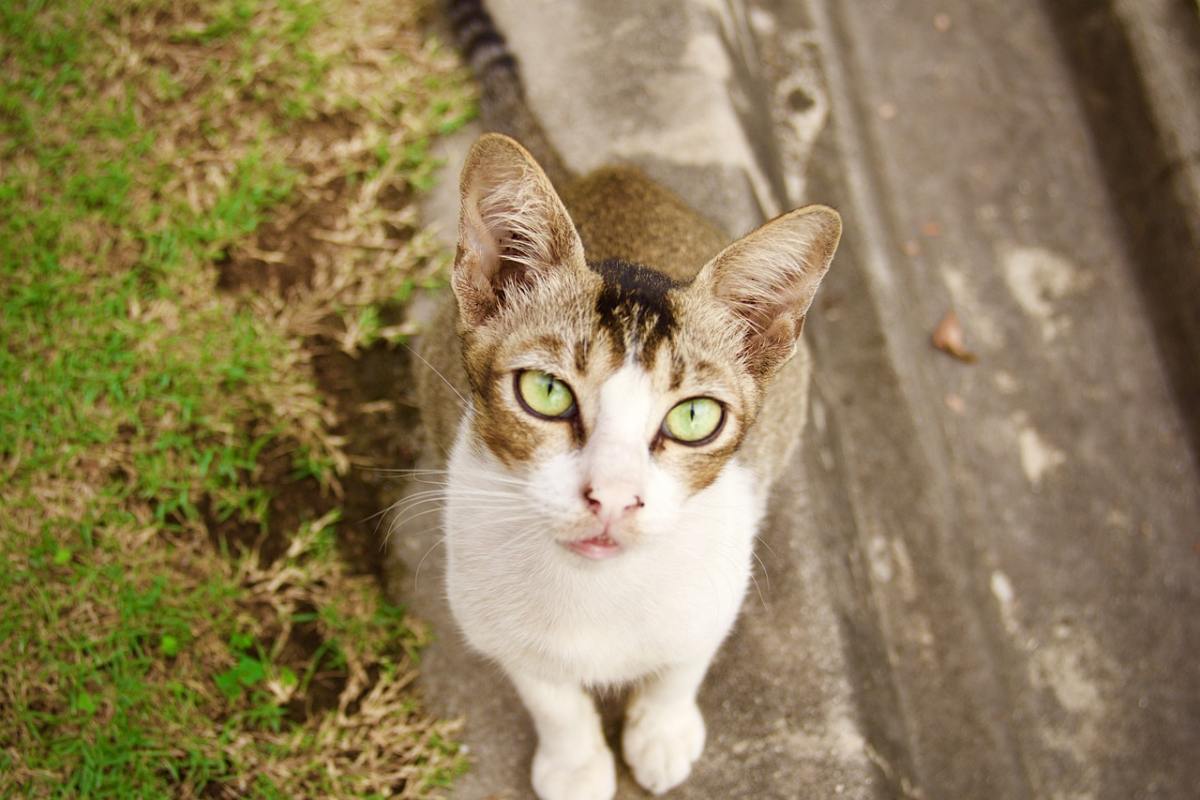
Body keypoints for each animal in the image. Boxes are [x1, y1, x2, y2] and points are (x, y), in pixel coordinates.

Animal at [412, 3, 844, 796]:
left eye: (694, 417)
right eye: (547, 392)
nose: (612, 497)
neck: (597, 595)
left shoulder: (719, 583)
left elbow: (684, 662)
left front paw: (662, 728)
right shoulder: (486, 612)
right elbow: (547, 692)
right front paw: (577, 761)